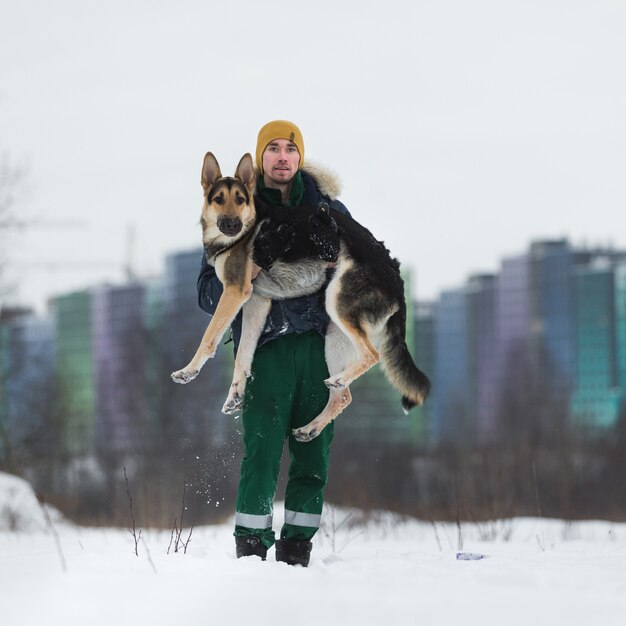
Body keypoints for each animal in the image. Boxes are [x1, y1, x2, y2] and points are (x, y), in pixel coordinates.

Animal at [171, 153, 428, 442]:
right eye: (218, 199)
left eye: (240, 199)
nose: (232, 225)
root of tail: (398, 281)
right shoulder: (256, 302)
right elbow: (243, 354)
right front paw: (235, 394)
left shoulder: (235, 291)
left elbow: (209, 338)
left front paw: (188, 371)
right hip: (335, 336)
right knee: (343, 397)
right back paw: (311, 426)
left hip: (337, 302)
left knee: (371, 356)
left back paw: (339, 381)